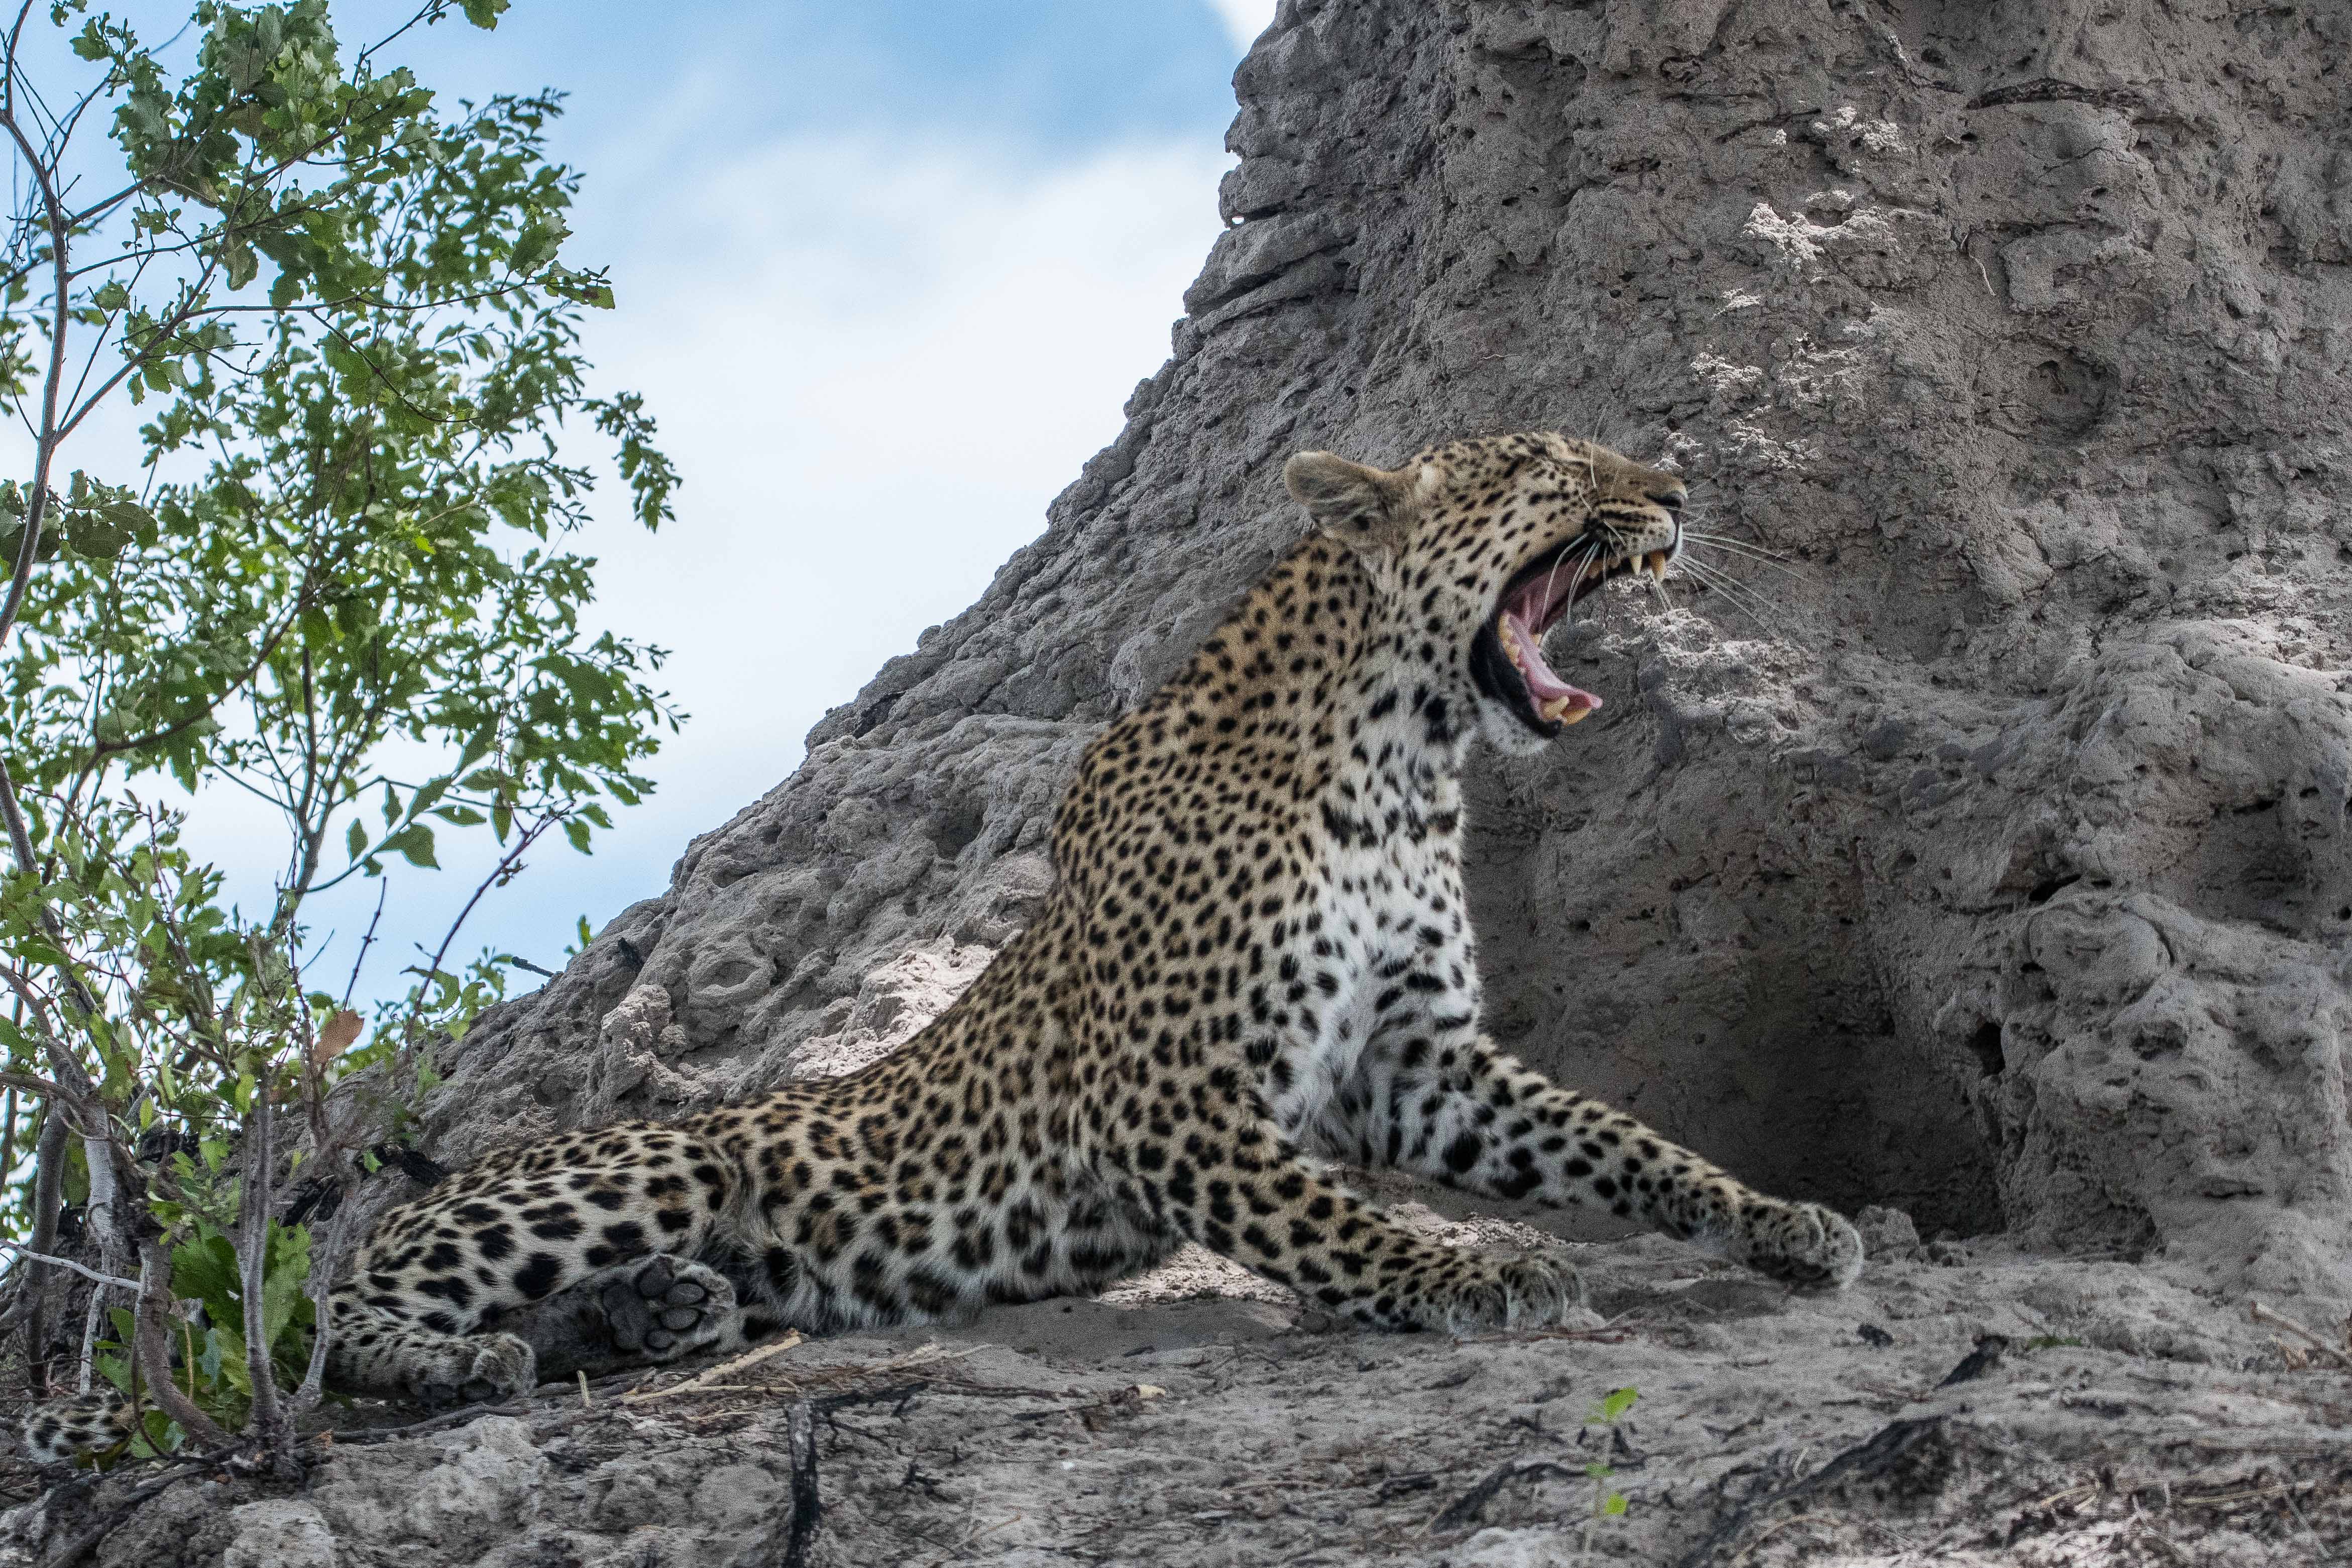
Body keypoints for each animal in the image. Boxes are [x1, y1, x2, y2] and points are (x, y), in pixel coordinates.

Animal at [23, 425, 1853, 1458]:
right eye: (1555, 471)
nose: (1679, 491)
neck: (1407, 764)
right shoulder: (1177, 1099)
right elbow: (1337, 1219)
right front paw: (1478, 1276)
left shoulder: (1419, 1062)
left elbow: (1616, 1137)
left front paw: (1780, 1220)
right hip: (640, 1163)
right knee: (332, 1299)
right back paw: (465, 1350)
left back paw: (671, 1313)